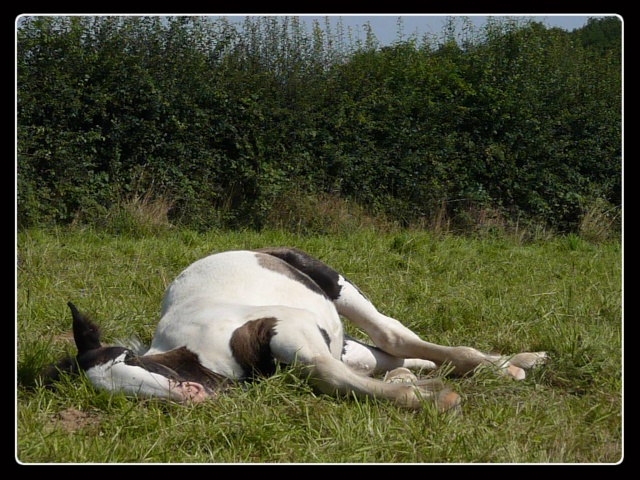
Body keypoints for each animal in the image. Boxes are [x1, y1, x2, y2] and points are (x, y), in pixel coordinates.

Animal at [45, 248, 548, 412]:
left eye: (129, 359)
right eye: (110, 391)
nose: (191, 395)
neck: (196, 350)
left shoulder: (287, 325)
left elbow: (325, 373)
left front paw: (433, 399)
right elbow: (337, 376)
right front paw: (422, 391)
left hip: (337, 287)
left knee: (394, 337)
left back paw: (506, 367)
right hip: (349, 343)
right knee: (389, 355)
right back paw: (518, 363)